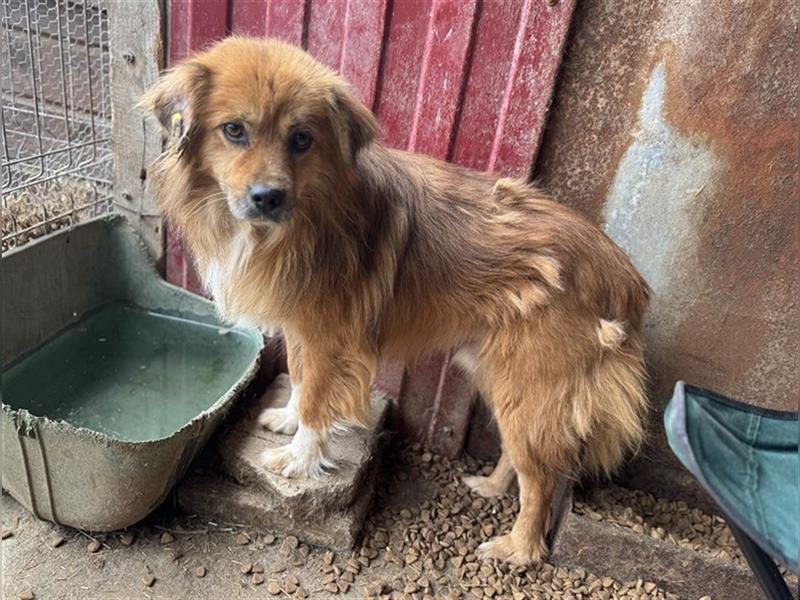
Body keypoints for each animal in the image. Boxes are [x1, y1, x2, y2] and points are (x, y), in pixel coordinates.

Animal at [141, 37, 648, 564]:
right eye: (234, 130)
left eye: (301, 138)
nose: (268, 197)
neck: (309, 217)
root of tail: (623, 275)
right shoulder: (304, 329)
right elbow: (299, 381)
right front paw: (286, 419)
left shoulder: (330, 340)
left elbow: (317, 403)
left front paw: (300, 459)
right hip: (501, 380)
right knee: (519, 454)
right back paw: (491, 486)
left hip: (530, 386)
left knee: (542, 480)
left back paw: (519, 548)